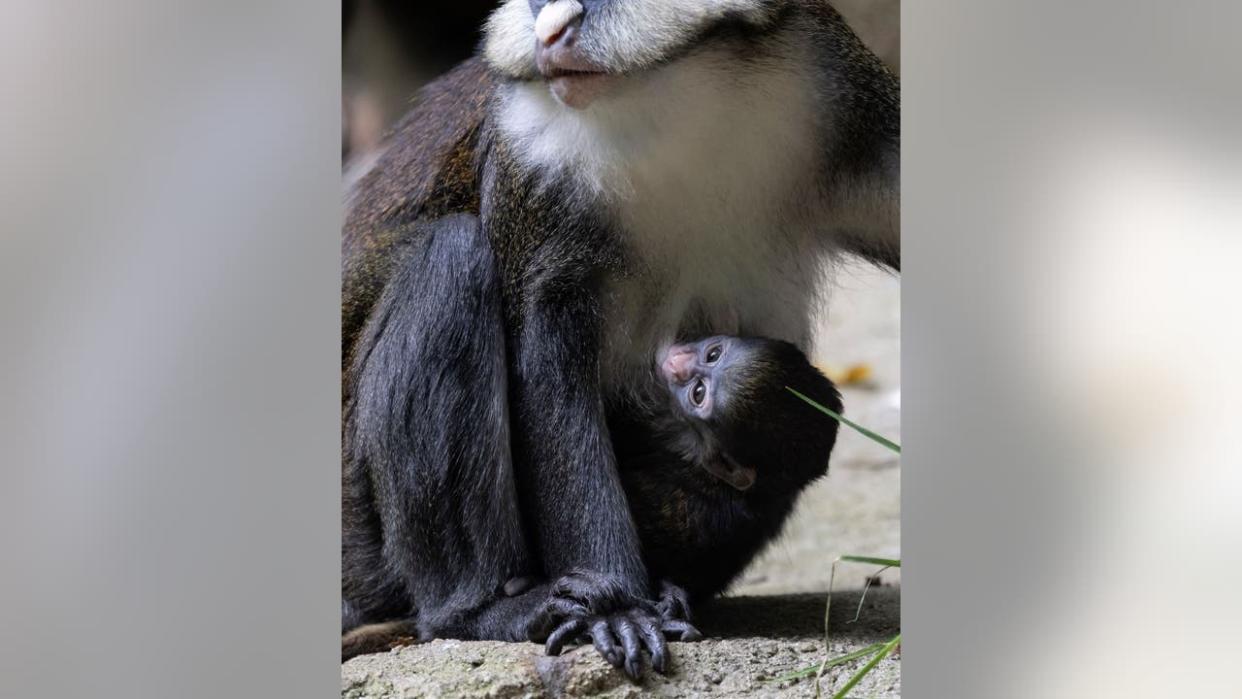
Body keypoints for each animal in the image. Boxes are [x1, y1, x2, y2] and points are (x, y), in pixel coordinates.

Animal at [345, 0, 899, 680]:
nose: (550, 33)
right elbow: (548, 371)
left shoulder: (839, 88)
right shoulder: (531, 162)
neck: (680, 100)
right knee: (451, 260)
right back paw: (477, 610)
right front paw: (617, 610)